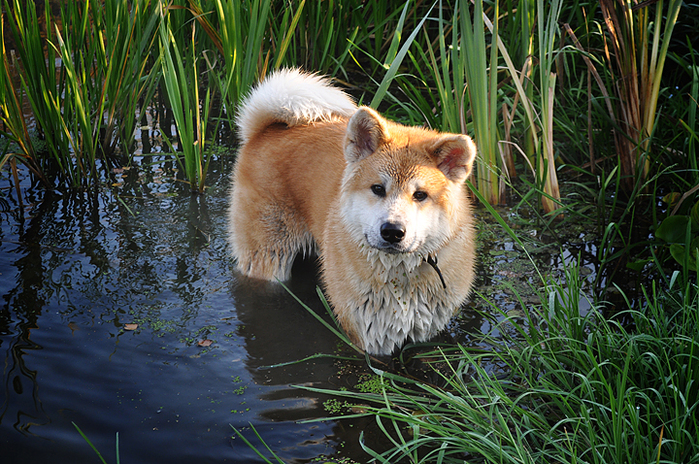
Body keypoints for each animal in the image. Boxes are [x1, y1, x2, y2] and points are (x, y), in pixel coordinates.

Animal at [227, 68, 478, 356]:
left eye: (420, 195)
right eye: (377, 188)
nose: (393, 231)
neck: (400, 279)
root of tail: (266, 129)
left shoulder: (424, 332)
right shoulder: (367, 335)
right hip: (268, 255)